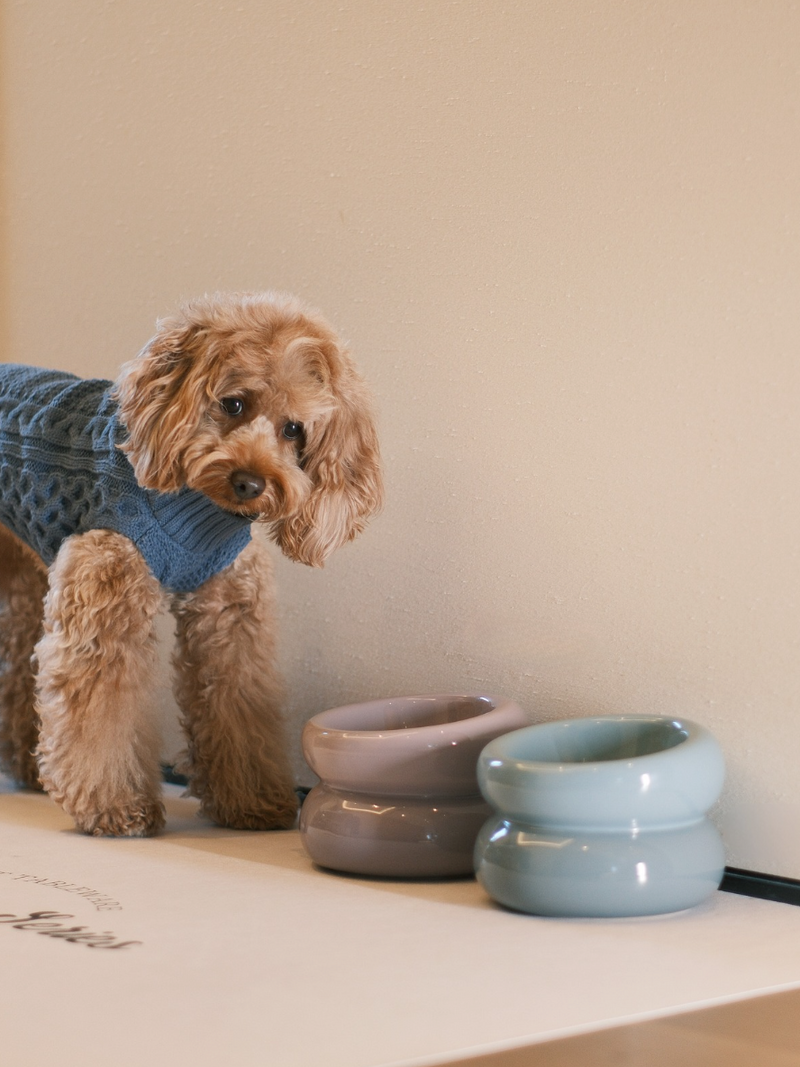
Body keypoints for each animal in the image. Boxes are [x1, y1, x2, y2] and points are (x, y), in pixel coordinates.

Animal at [0, 292, 386, 832]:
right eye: (234, 403)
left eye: (294, 429)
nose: (250, 482)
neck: (194, 508)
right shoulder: (106, 597)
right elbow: (102, 705)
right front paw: (115, 805)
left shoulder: (229, 613)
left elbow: (237, 702)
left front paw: (252, 802)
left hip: (24, 577)